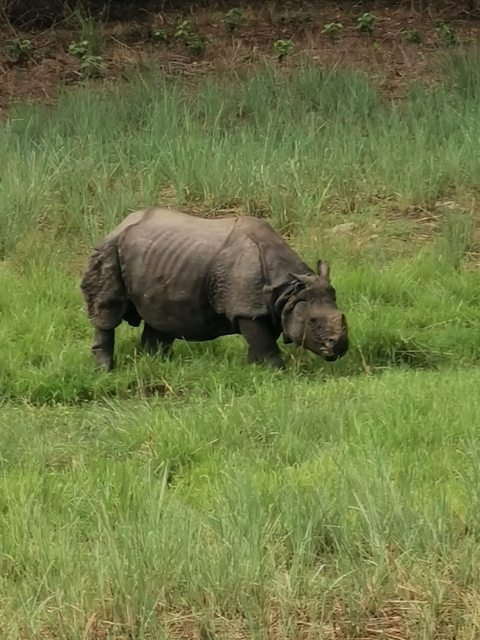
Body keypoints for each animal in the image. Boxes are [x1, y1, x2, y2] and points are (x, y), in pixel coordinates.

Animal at [80, 207, 349, 371]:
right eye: (312, 321)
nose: (340, 347)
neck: (287, 289)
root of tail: (119, 225)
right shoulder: (247, 308)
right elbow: (265, 344)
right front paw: (279, 373)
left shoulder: (265, 307)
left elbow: (260, 342)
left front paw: (254, 369)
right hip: (108, 250)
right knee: (108, 310)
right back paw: (105, 371)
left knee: (161, 316)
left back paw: (161, 365)